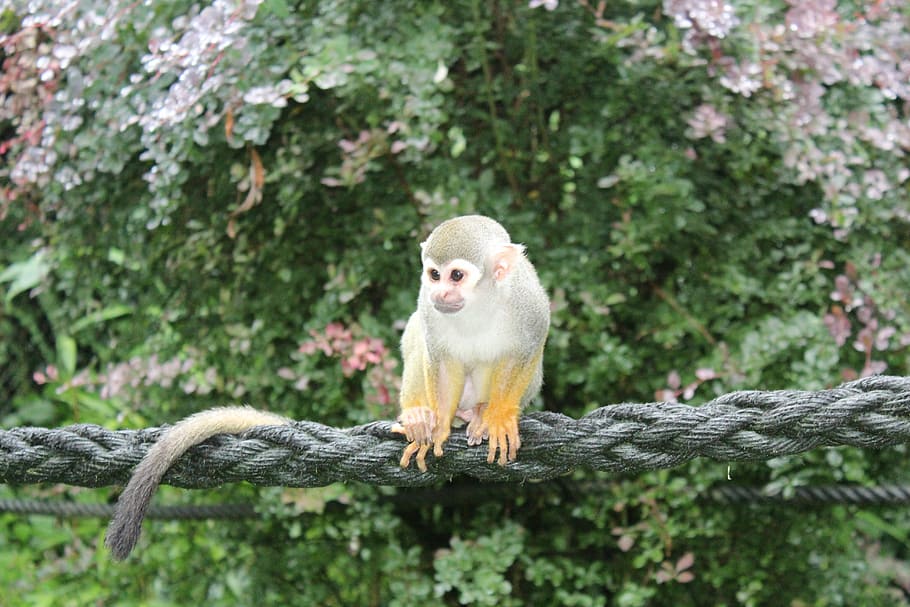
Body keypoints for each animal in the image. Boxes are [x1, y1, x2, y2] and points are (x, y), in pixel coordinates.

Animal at [391, 215, 550, 471]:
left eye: (456, 275)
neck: (479, 302)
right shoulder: (427, 302)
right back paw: (419, 415)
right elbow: (441, 359)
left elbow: (524, 349)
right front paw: (439, 427)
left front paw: (499, 417)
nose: (440, 294)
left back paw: (482, 412)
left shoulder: (528, 303)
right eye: (435, 275)